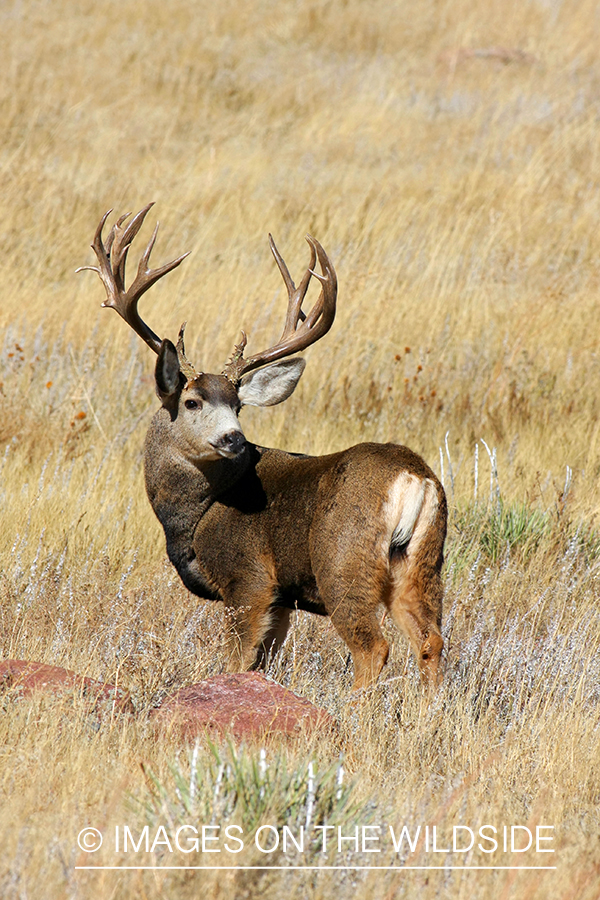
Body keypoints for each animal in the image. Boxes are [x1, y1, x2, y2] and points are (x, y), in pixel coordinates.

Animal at [78, 203, 447, 691]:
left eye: (238, 405)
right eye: (193, 401)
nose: (233, 439)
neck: (192, 516)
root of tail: (413, 478)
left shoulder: (248, 579)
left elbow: (236, 661)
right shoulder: (281, 600)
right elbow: (263, 663)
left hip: (342, 561)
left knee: (373, 648)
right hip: (423, 562)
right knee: (430, 641)